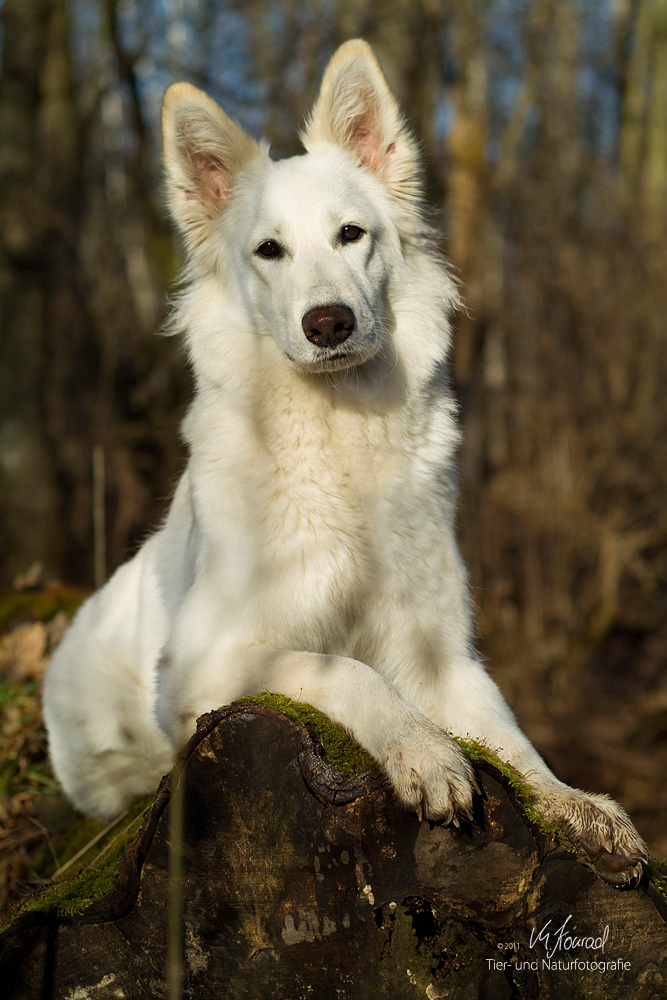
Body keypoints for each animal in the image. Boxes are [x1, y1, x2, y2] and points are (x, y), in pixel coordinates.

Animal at [43, 39, 648, 884]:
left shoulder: (442, 656)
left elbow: (512, 740)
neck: (341, 444)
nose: (327, 322)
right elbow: (342, 669)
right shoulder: (210, 663)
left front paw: (572, 801)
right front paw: (423, 752)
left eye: (351, 235)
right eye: (269, 250)